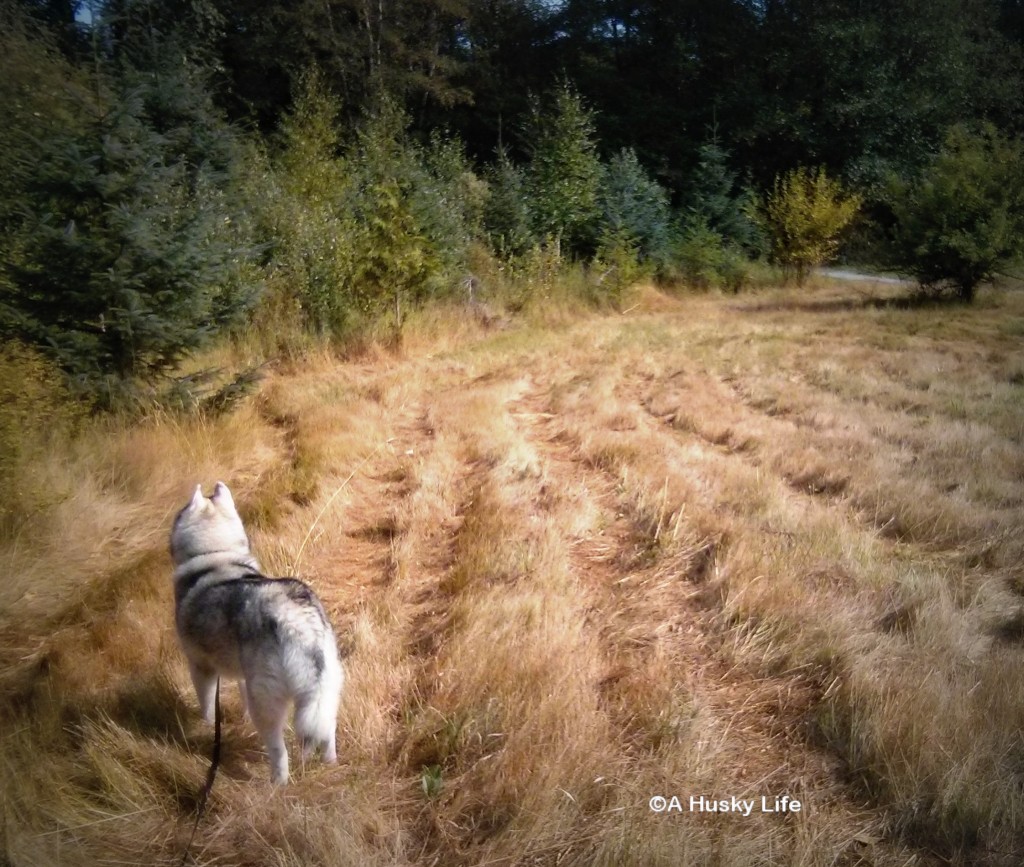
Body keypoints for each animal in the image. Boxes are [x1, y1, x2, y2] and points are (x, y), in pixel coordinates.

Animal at [168, 481, 344, 786]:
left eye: (180, 511)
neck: (215, 556)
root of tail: (299, 623)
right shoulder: (242, 675)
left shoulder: (200, 666)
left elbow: (206, 705)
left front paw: (205, 726)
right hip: (326, 689)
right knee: (327, 729)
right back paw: (329, 762)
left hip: (268, 702)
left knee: (278, 750)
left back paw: (278, 784)